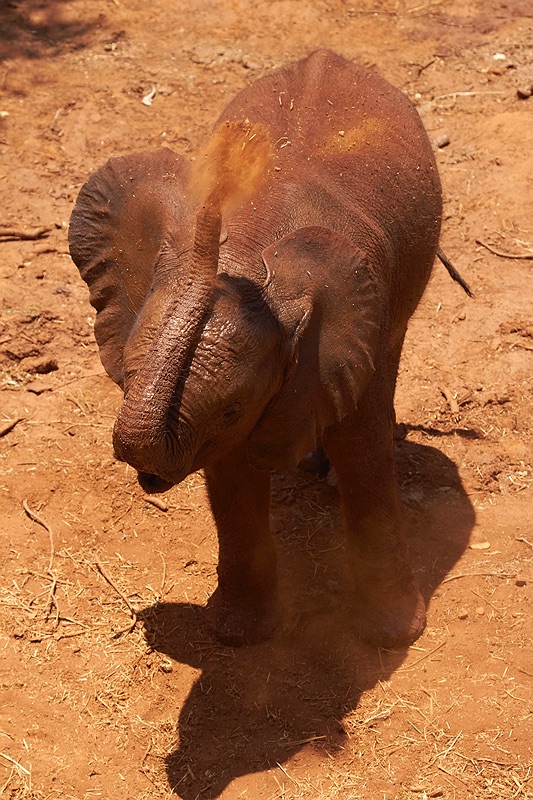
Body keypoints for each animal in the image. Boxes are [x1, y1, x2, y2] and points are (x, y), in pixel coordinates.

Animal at [69, 49, 448, 649]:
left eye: (232, 409)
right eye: (125, 377)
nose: (239, 147)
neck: (248, 246)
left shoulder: (358, 320)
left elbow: (361, 449)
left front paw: (392, 638)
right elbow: (229, 471)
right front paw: (237, 634)